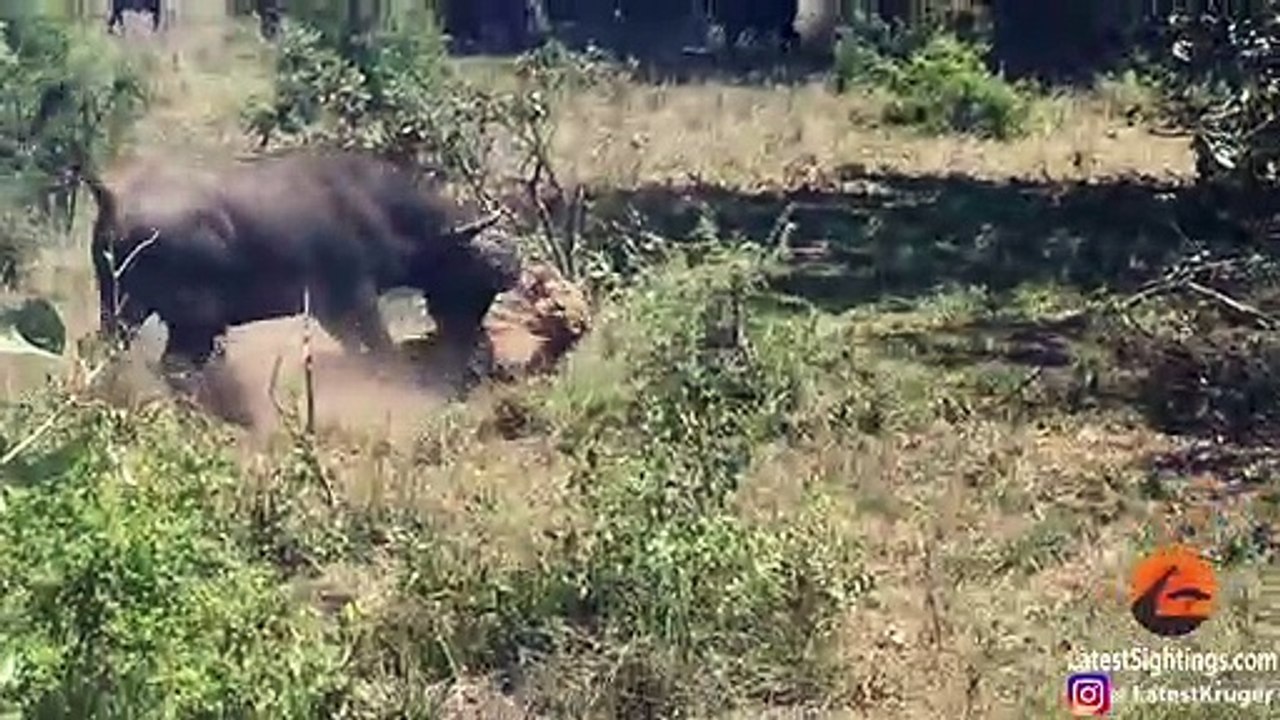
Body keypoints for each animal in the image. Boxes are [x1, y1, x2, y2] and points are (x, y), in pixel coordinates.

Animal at [79, 151, 522, 389]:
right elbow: (380, 350)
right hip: (188, 322)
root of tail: (114, 201)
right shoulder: (353, 301)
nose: (511, 265)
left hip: (123, 310)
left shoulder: (332, 313)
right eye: (471, 267)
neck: (376, 206)